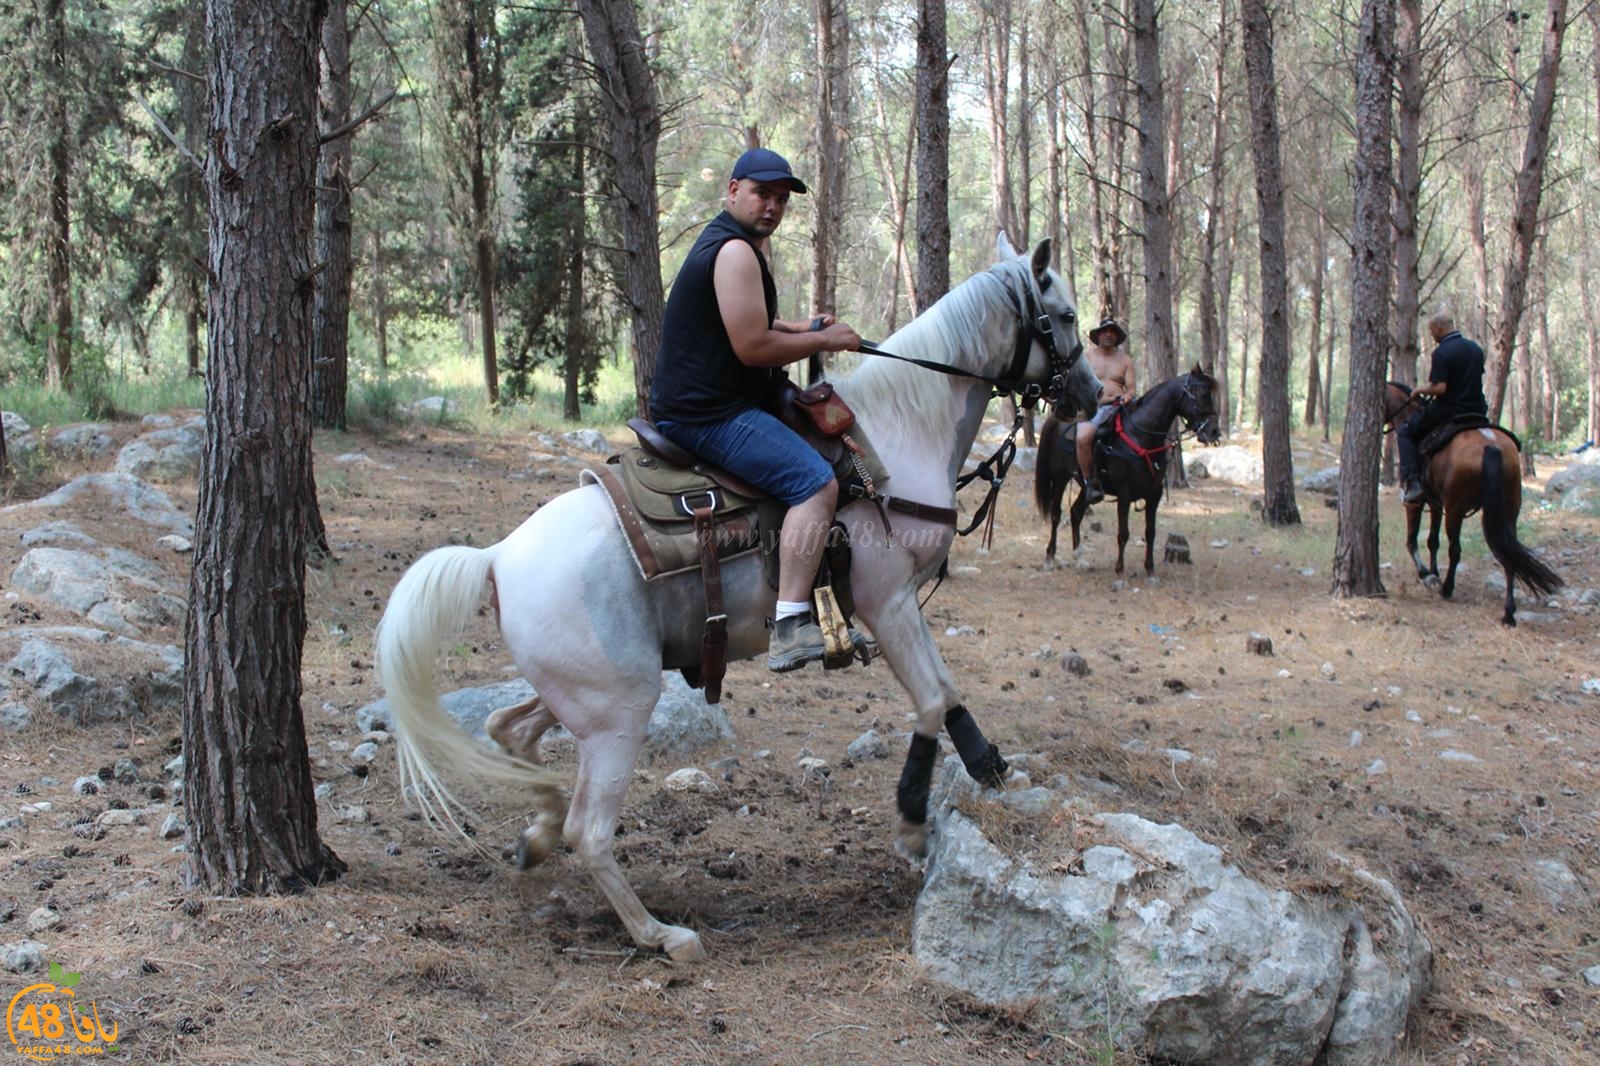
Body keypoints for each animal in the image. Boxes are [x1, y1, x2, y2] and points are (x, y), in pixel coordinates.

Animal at [374, 235, 1100, 960]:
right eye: (1064, 316)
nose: (1092, 393)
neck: (894, 439)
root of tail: (497, 557)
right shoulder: (887, 600)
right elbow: (929, 702)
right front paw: (913, 827)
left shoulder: (896, 609)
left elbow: (947, 696)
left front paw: (989, 765)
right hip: (618, 710)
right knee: (590, 830)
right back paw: (661, 933)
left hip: (587, 691)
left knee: (510, 729)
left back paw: (538, 836)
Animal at [1030, 364, 1216, 573]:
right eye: (1203, 394)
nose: (1214, 431)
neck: (1140, 436)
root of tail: (1056, 421)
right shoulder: (1124, 494)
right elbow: (1123, 533)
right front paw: (1119, 569)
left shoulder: (1155, 493)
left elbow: (1150, 532)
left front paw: (1150, 569)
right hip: (1059, 478)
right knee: (1056, 514)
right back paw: (1050, 557)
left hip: (1088, 487)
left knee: (1076, 513)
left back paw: (1080, 558)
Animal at [1382, 379, 1555, 624]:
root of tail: (1491, 446)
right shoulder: (1436, 505)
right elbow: (1432, 541)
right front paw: (1434, 572)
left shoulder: (1415, 502)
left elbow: (1412, 541)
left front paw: (1427, 576)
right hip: (1508, 510)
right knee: (1508, 553)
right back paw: (1508, 612)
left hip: (1455, 509)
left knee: (1455, 550)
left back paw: (1447, 589)